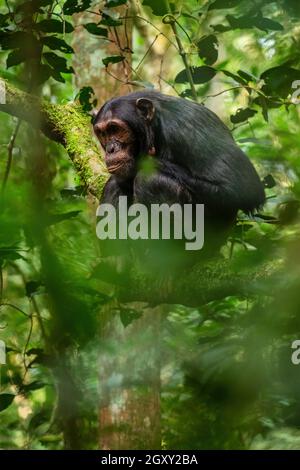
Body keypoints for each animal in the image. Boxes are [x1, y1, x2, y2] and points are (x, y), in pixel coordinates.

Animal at [92, 90, 264, 270]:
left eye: (115, 128)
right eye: (103, 133)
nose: (111, 149)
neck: (155, 126)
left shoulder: (186, 127)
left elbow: (242, 187)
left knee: (150, 181)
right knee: (115, 185)